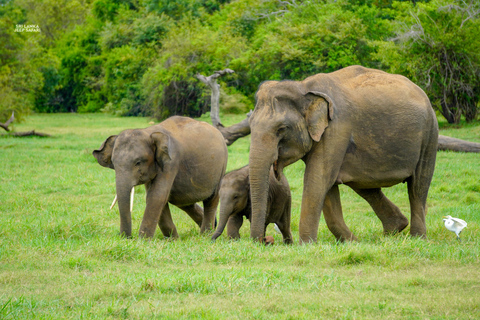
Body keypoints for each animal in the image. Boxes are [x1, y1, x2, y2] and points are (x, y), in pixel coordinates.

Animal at [94, 115, 230, 238]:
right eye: (114, 163)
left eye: (138, 162)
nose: (126, 237)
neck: (148, 131)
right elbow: (157, 196)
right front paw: (173, 239)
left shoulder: (171, 161)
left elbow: (157, 195)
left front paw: (143, 240)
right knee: (184, 201)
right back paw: (212, 225)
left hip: (221, 166)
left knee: (211, 200)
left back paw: (205, 235)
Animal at [248, 66, 438, 244]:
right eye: (250, 124)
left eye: (281, 129)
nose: (265, 240)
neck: (303, 86)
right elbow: (327, 186)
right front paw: (352, 243)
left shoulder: (337, 129)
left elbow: (318, 180)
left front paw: (306, 245)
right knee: (364, 185)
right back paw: (394, 230)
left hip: (429, 134)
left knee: (418, 186)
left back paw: (417, 238)